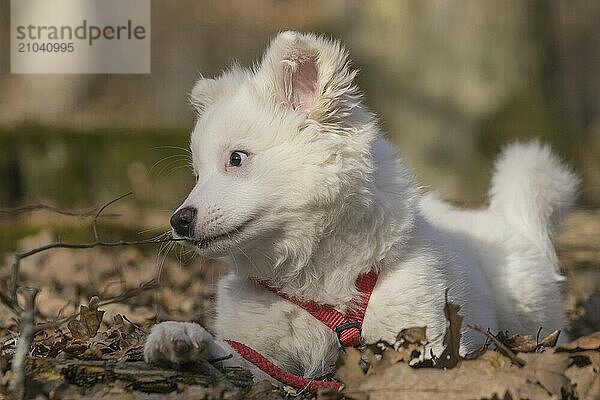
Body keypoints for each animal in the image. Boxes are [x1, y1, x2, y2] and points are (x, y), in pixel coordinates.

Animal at [144, 32, 576, 384]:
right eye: (197, 173)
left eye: (236, 158)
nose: (178, 221)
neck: (312, 278)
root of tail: (504, 218)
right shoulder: (260, 353)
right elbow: (233, 354)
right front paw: (179, 336)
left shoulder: (423, 333)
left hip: (528, 306)